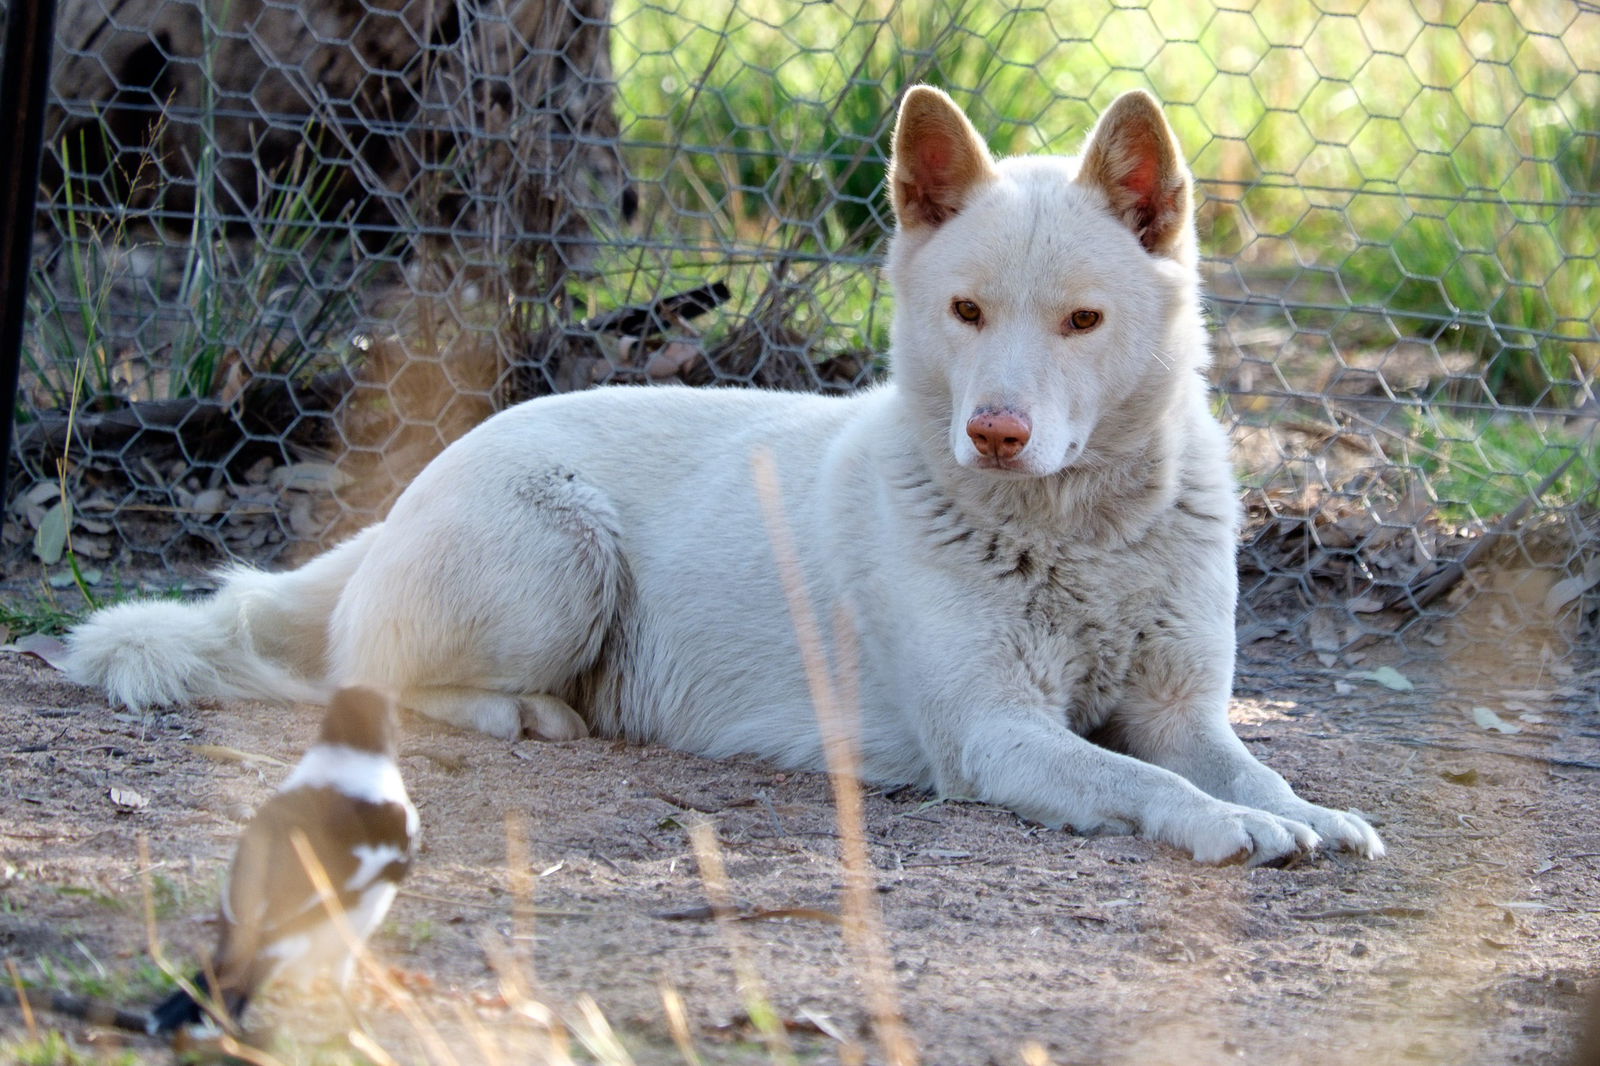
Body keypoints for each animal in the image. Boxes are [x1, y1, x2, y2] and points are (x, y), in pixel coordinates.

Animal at [68, 85, 1382, 864]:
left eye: (1081, 320)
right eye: (965, 311)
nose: (997, 433)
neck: (1079, 531)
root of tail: (422, 479)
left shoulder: (1180, 712)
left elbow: (1253, 760)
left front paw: (1306, 810)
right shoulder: (998, 736)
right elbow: (1142, 780)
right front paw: (1228, 826)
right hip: (562, 547)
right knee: (368, 675)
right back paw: (527, 712)